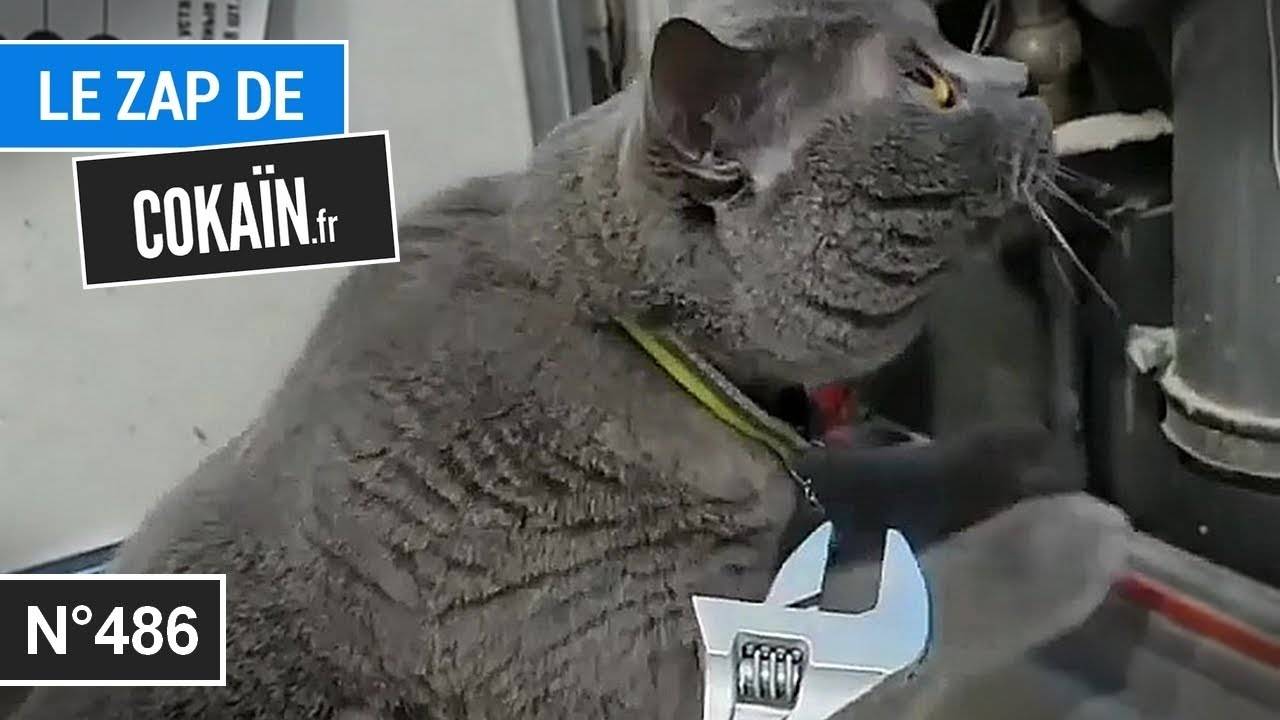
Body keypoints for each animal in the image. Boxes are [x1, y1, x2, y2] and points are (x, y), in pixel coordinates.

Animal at [16, 1, 1059, 718]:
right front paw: (1056, 541)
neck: (639, 340)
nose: (1026, 76)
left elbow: (878, 487)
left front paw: (1027, 457)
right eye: (929, 85)